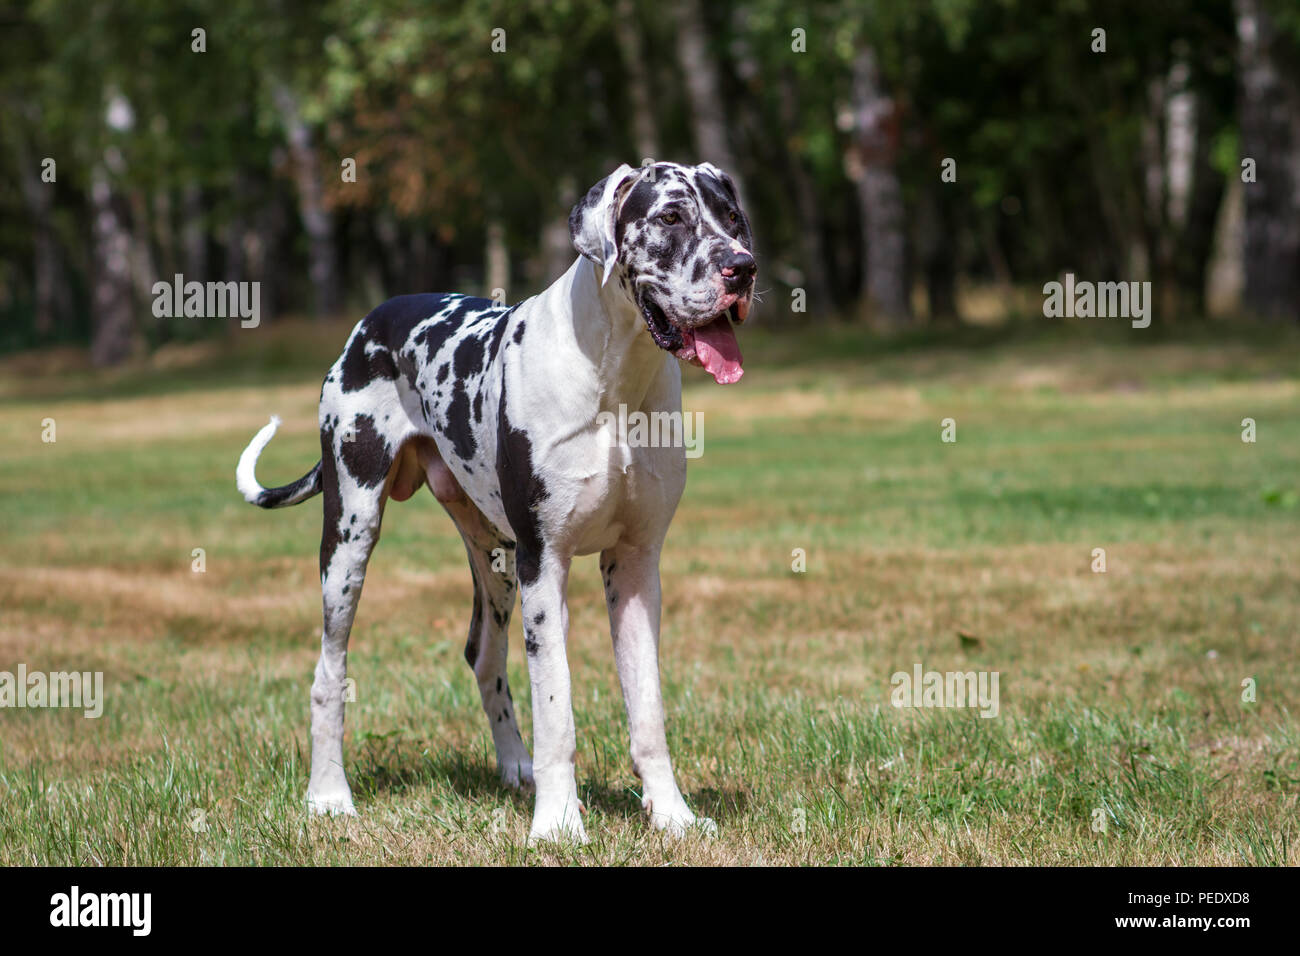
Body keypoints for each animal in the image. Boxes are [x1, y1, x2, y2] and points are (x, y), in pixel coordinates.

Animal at [239, 164, 759, 842]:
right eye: (671, 217)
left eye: (733, 217)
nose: (742, 268)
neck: (614, 379)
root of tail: (370, 321)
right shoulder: (546, 563)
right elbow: (557, 712)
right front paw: (559, 826)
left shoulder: (636, 566)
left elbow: (647, 713)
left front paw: (672, 815)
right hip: (352, 538)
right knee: (329, 672)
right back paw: (328, 794)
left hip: (495, 559)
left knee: (484, 656)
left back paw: (517, 768)